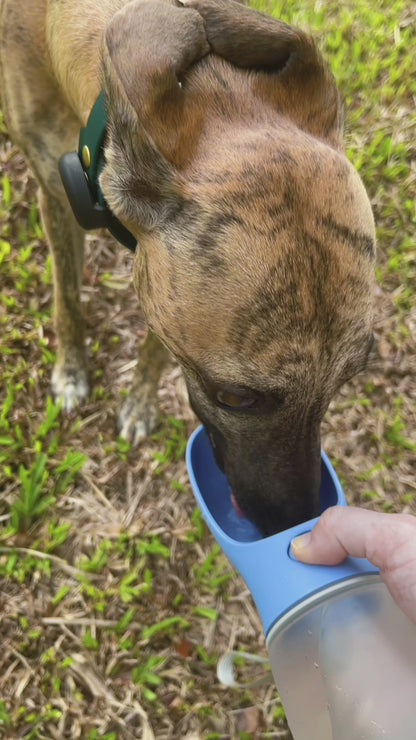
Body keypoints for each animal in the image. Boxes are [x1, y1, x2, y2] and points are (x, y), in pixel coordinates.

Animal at [0, 0, 376, 532]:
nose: (297, 520)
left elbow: (158, 345)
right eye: (233, 397)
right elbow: (68, 298)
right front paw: (71, 371)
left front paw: (139, 402)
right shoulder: (55, 195)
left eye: (349, 377)